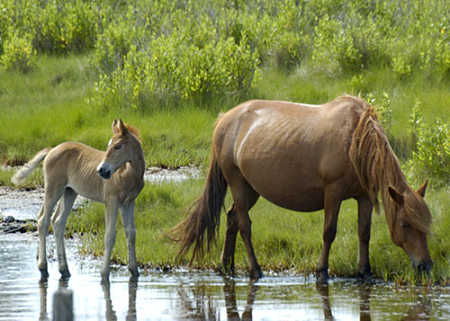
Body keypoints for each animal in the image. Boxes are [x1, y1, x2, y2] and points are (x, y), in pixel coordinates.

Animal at [172, 95, 432, 280]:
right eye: (405, 224)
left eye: (426, 225)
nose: (426, 265)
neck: (355, 140)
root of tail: (224, 120)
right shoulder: (333, 192)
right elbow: (329, 232)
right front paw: (322, 270)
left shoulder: (364, 197)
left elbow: (364, 232)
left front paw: (364, 270)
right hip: (237, 183)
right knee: (244, 225)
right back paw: (255, 269)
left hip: (250, 189)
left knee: (232, 218)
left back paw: (227, 265)